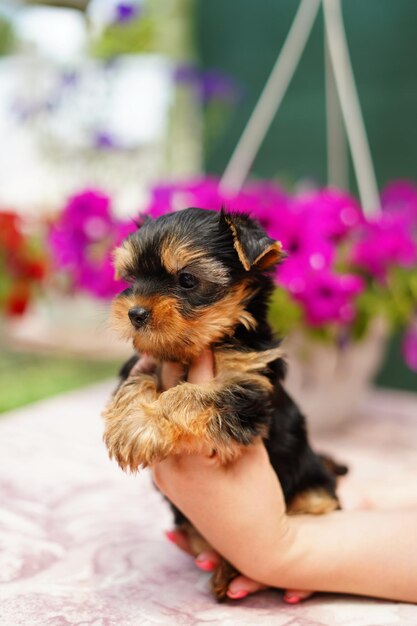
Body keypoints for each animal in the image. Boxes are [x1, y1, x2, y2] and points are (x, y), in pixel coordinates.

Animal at [101, 206, 344, 600]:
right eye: (131, 278)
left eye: (187, 280)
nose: (134, 313)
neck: (207, 343)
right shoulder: (146, 361)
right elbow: (137, 380)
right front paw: (129, 425)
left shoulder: (248, 389)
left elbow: (191, 394)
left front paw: (143, 425)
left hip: (313, 490)